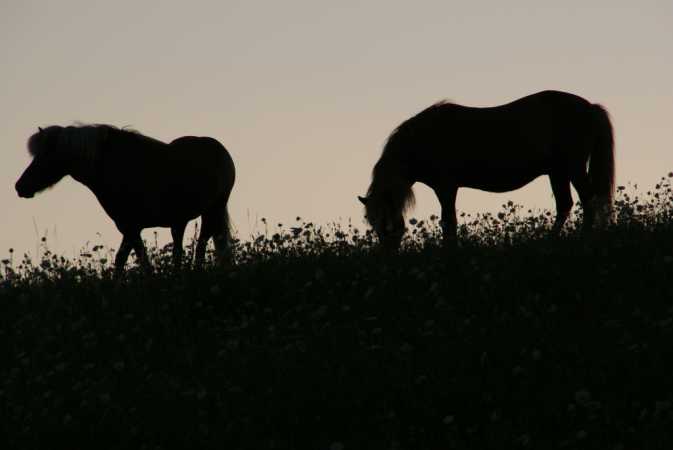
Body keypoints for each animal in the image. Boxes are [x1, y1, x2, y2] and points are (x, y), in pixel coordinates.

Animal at [15, 125, 236, 276]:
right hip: (183, 221)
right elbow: (122, 260)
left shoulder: (131, 227)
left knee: (200, 246)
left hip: (212, 211)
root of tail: (221, 151)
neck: (117, 167)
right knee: (180, 249)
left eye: (44, 156)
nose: (20, 186)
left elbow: (139, 261)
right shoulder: (127, 227)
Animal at [360, 89, 612, 250]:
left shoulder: (446, 187)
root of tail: (590, 107)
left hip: (573, 168)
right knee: (565, 204)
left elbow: (448, 222)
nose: (388, 255)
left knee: (588, 200)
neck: (424, 138)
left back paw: (584, 238)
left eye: (388, 221)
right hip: (557, 172)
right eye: (373, 224)